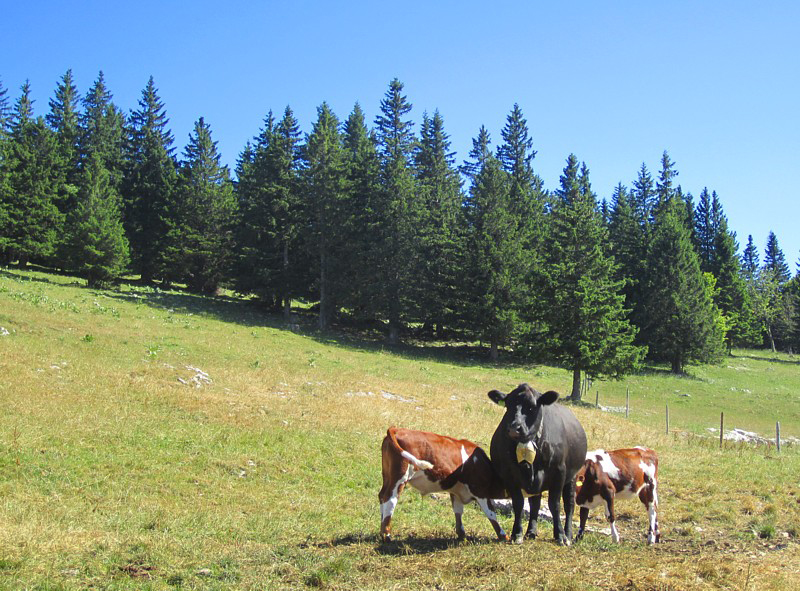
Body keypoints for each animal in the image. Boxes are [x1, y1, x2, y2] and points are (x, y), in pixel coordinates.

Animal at [484, 384, 592, 544]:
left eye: (532, 407)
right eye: (508, 405)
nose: (514, 428)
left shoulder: (559, 473)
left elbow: (555, 505)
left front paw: (560, 535)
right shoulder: (509, 475)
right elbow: (519, 503)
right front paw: (517, 533)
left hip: (572, 476)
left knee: (569, 505)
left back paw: (568, 534)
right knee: (535, 504)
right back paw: (531, 531)